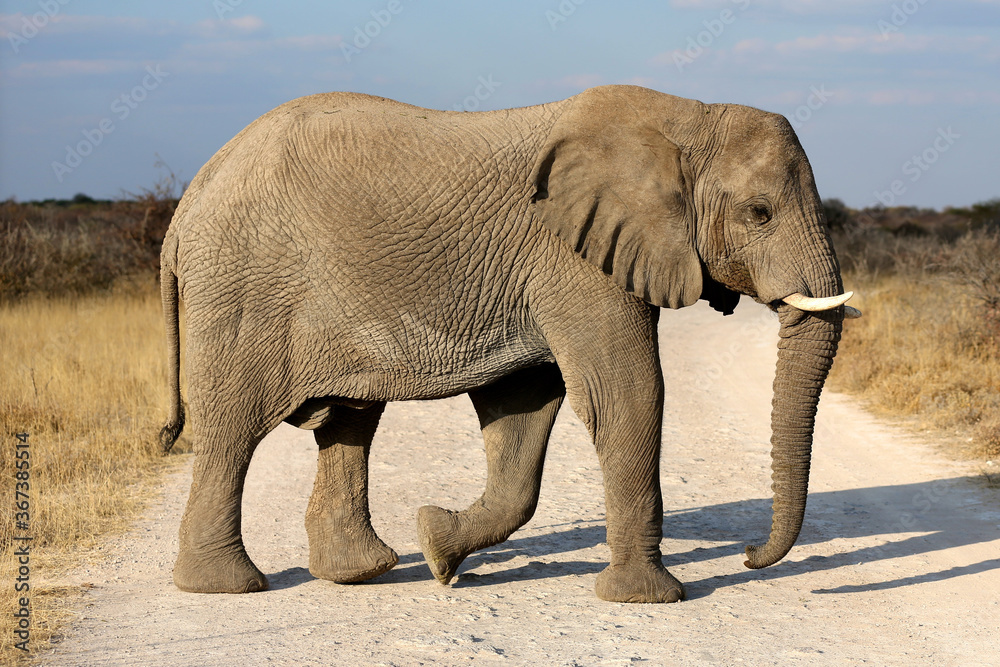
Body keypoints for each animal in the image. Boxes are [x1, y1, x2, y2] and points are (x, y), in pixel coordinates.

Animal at [158, 84, 859, 603]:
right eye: (759, 213)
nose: (748, 555)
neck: (686, 118)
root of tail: (192, 193)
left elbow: (522, 413)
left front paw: (437, 546)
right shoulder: (573, 258)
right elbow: (627, 394)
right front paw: (649, 599)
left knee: (349, 422)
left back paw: (363, 571)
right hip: (242, 289)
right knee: (232, 430)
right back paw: (226, 587)